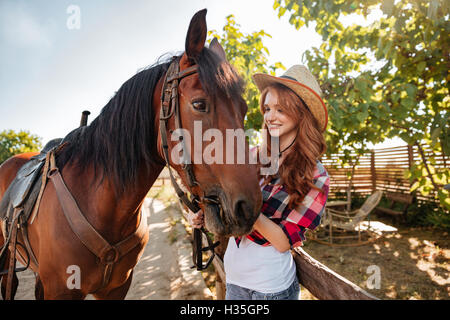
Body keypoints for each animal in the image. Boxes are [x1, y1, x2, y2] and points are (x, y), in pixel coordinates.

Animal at [0, 9, 262, 300]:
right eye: (199, 104)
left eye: (244, 108)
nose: (249, 207)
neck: (100, 205)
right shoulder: (61, 290)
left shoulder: (118, 286)